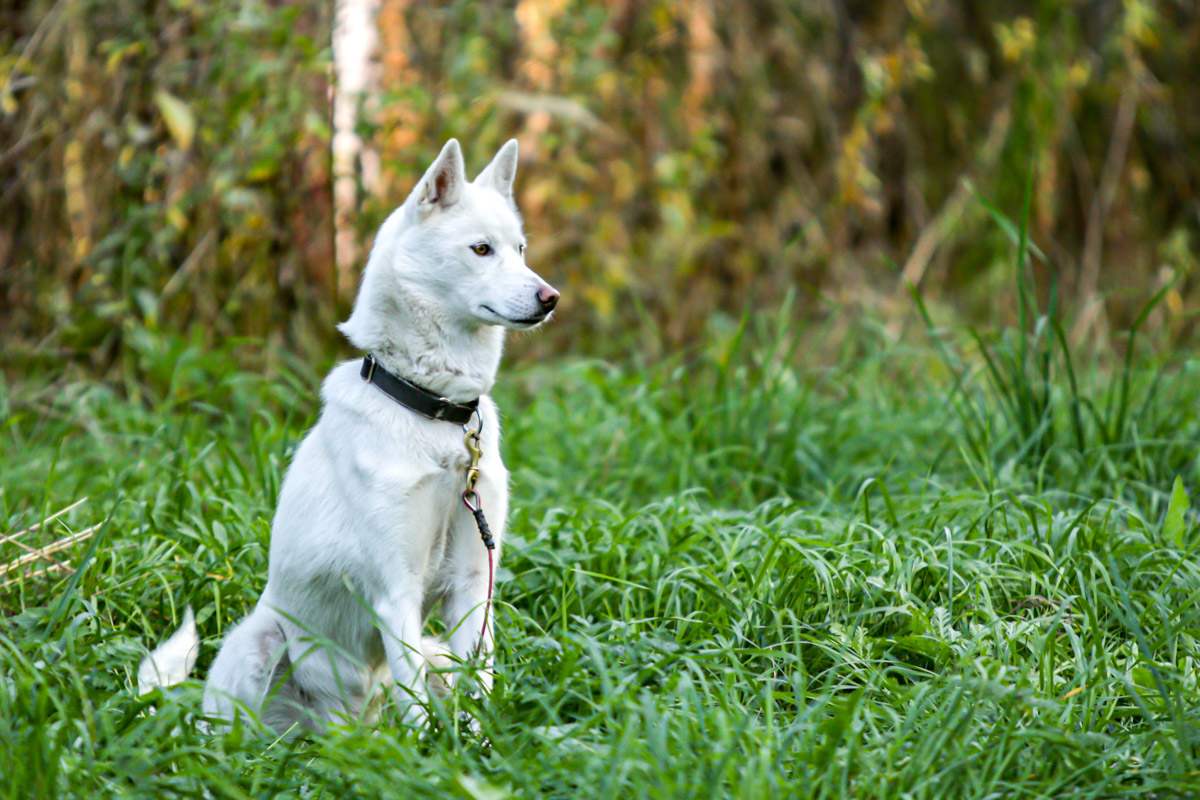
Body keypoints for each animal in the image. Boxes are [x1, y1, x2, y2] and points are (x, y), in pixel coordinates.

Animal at [138, 140, 559, 734]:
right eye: (482, 249)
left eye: (520, 250)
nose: (552, 297)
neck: (436, 415)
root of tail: (346, 725)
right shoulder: (395, 592)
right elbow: (418, 711)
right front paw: (429, 754)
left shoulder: (475, 586)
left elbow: (480, 689)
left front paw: (479, 747)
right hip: (259, 644)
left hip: (434, 651)